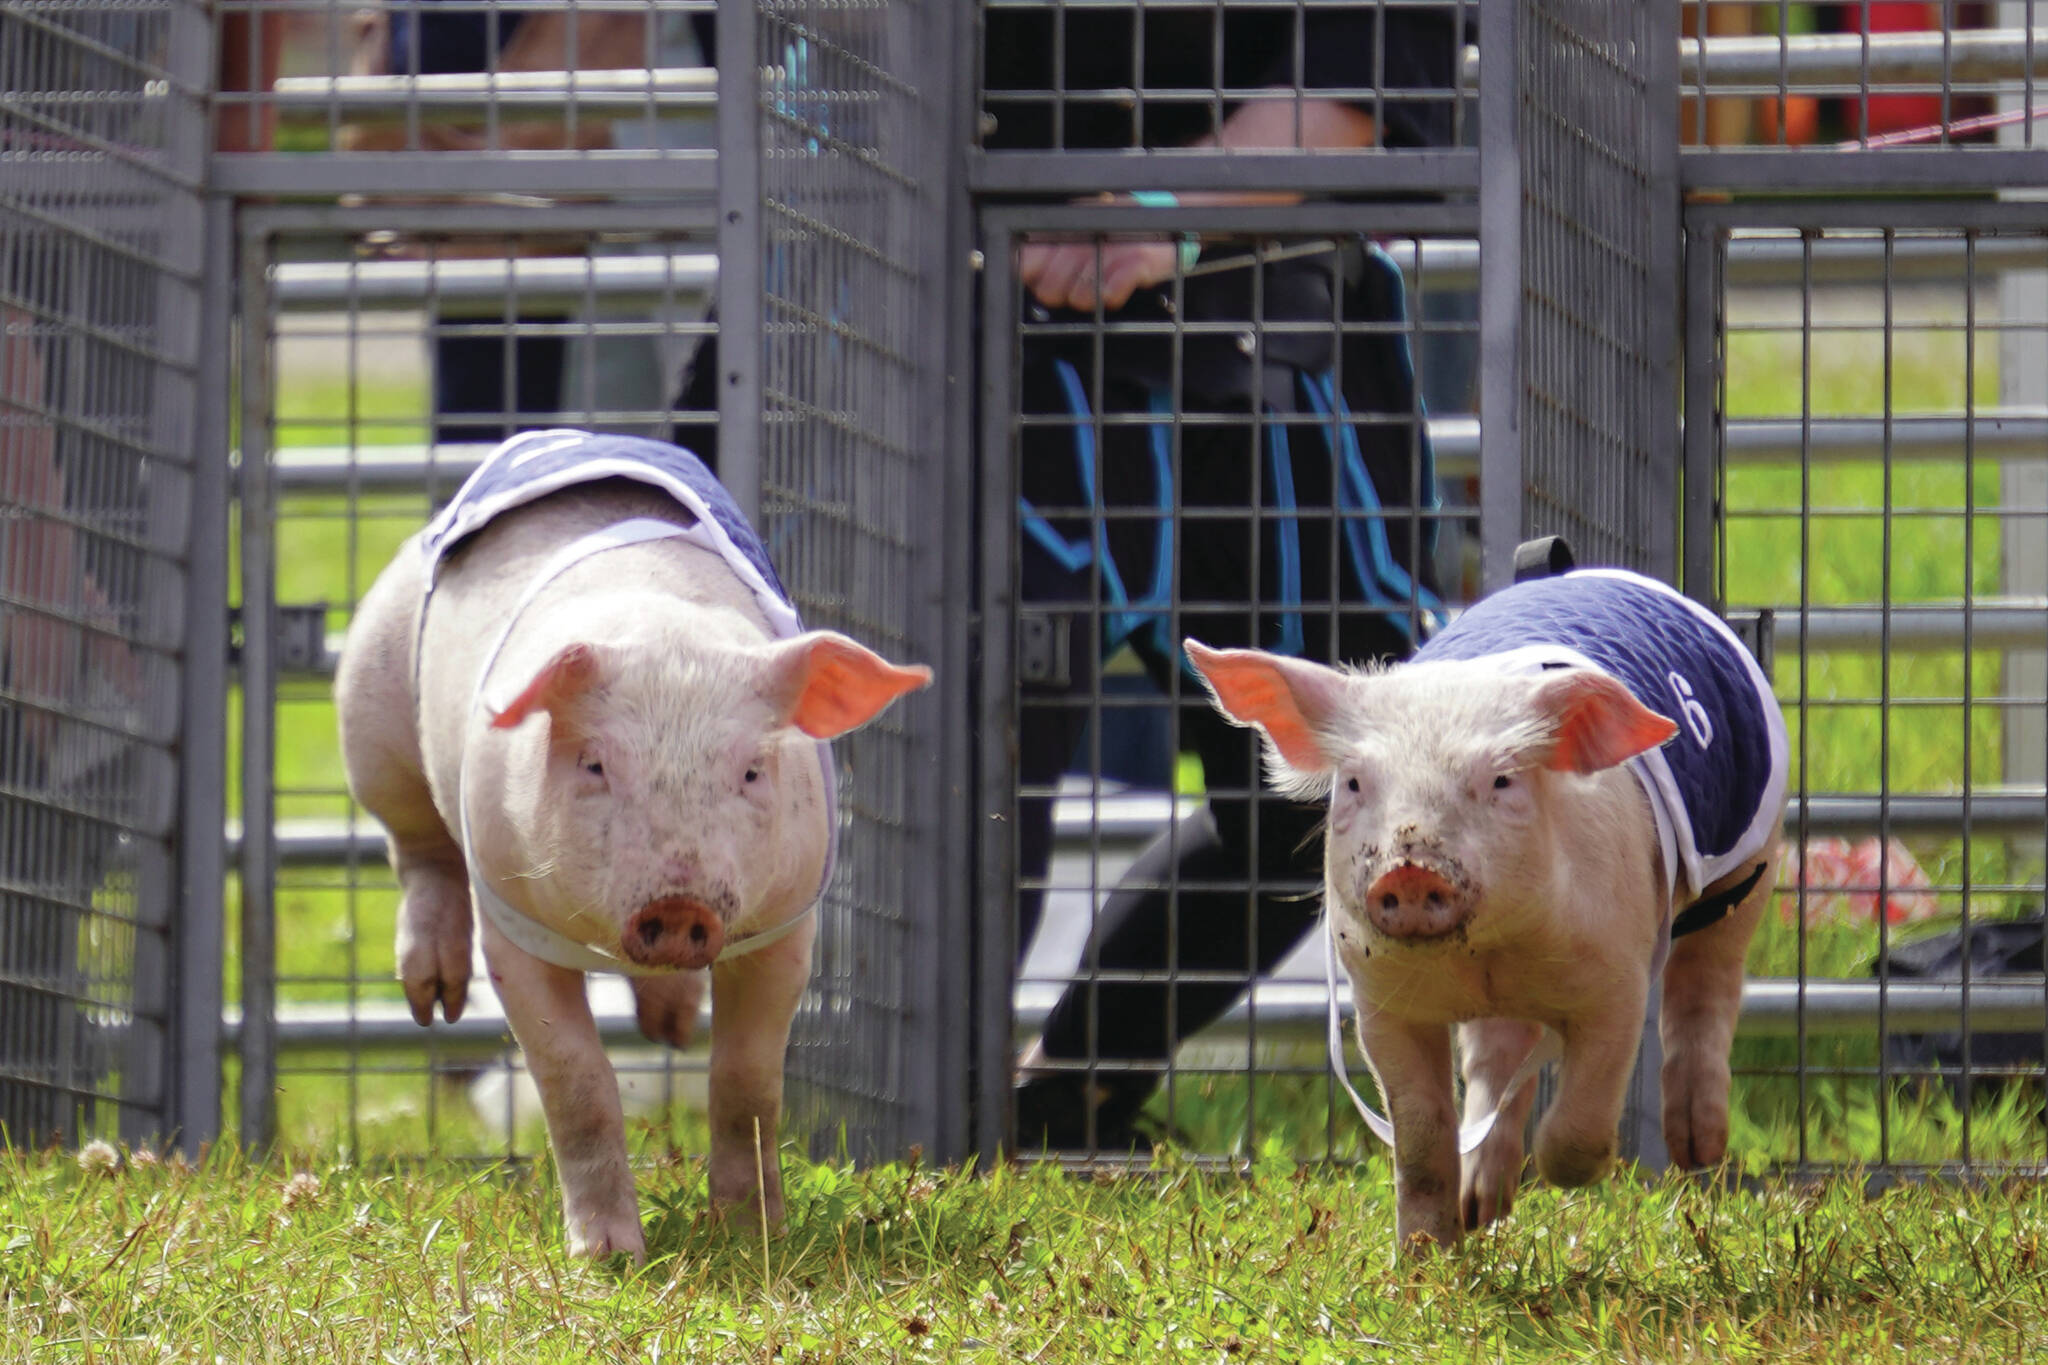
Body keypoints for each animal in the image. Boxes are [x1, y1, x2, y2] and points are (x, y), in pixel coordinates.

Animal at [337, 435, 937, 1260]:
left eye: (753, 770)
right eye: (594, 764)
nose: (680, 906)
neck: (664, 633)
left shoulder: (787, 919)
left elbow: (749, 1083)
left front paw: (754, 1237)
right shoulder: (510, 912)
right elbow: (575, 1079)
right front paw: (608, 1255)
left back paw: (669, 1026)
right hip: (371, 699)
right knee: (416, 845)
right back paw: (435, 1002)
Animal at [1187, 564, 1794, 1252]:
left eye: (1502, 780)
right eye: (1355, 783)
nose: (1410, 867)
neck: (1488, 952)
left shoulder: (1619, 974)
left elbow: (1588, 1108)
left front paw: (1565, 1175)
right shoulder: (1382, 1003)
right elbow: (1422, 1141)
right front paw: (1424, 1256)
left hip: (1753, 854)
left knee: (1708, 980)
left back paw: (1698, 1151)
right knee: (1497, 1054)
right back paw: (1482, 1204)